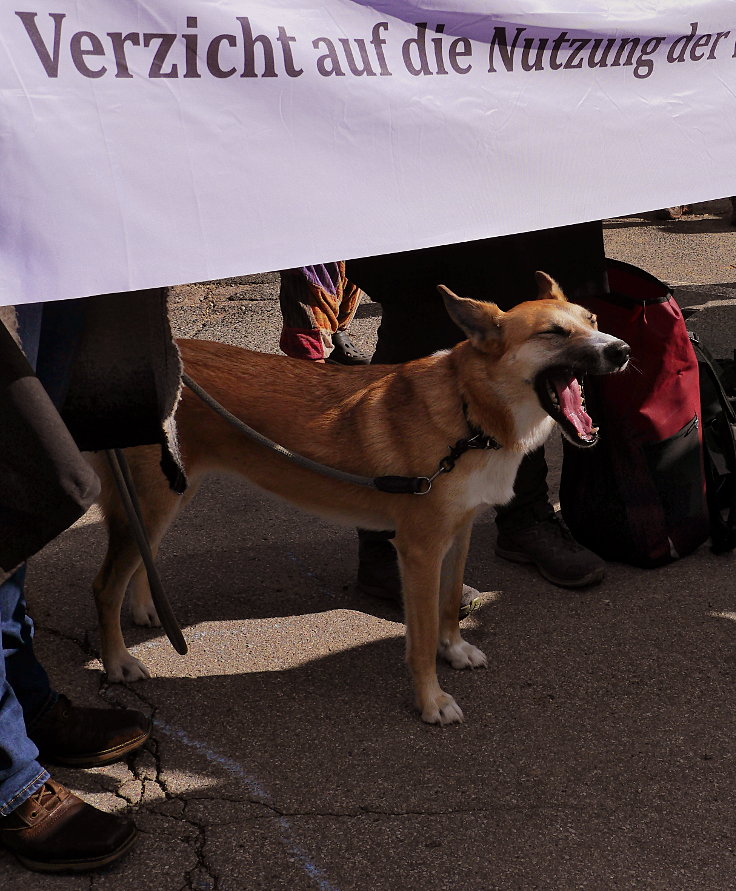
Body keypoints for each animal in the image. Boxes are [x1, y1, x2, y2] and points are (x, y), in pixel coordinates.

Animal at [89, 276, 628, 728]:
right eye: (553, 333)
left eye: (593, 320)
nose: (622, 350)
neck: (468, 415)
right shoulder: (419, 551)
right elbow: (421, 637)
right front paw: (431, 700)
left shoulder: (459, 534)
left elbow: (450, 603)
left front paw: (454, 650)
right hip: (155, 501)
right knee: (105, 585)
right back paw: (118, 661)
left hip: (168, 495)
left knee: (141, 559)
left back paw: (146, 609)